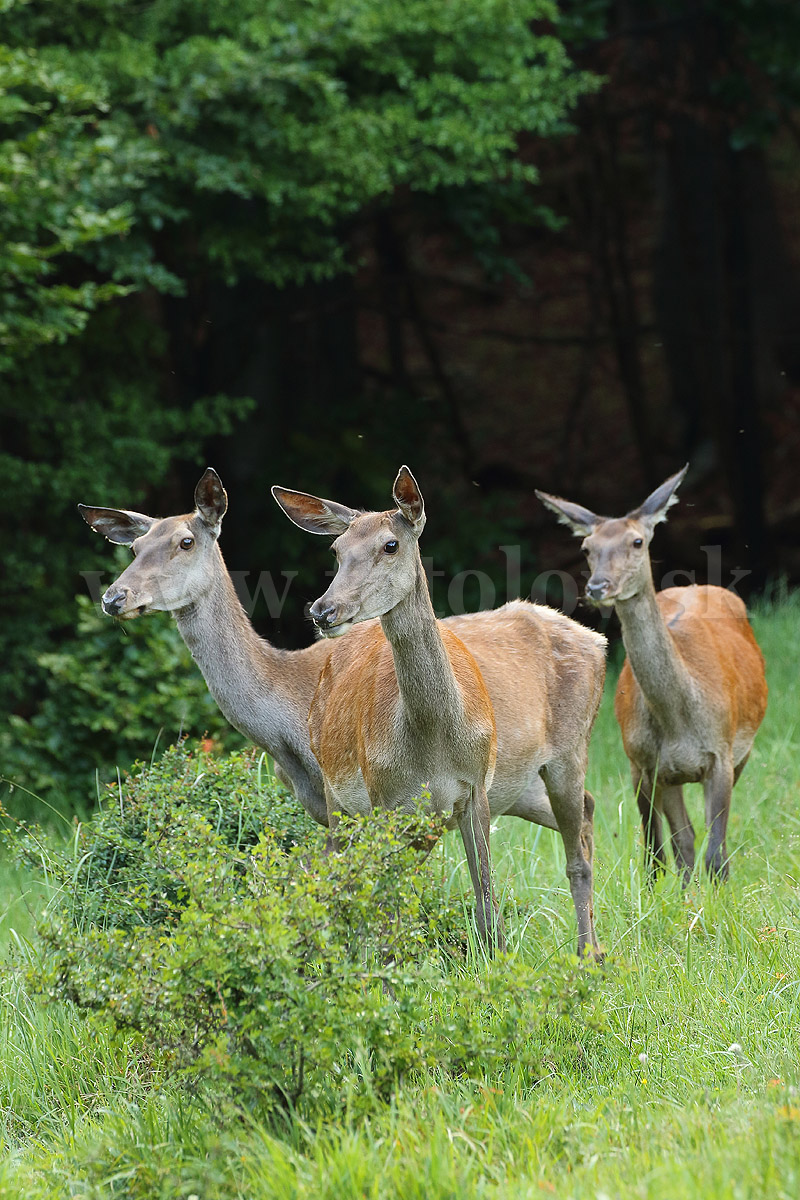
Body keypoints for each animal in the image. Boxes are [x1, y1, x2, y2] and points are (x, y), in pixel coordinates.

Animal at [79, 463, 606, 950]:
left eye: (185, 541)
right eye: (134, 547)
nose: (114, 596)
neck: (284, 718)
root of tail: (598, 640)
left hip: (565, 750)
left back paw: (589, 951)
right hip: (519, 787)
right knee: (588, 810)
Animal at [537, 463, 767, 888]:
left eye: (637, 541)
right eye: (587, 548)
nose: (598, 586)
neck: (679, 722)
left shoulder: (722, 753)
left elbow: (714, 847)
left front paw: (715, 892)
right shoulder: (643, 762)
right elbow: (658, 851)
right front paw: (673, 893)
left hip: (744, 748)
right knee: (682, 839)